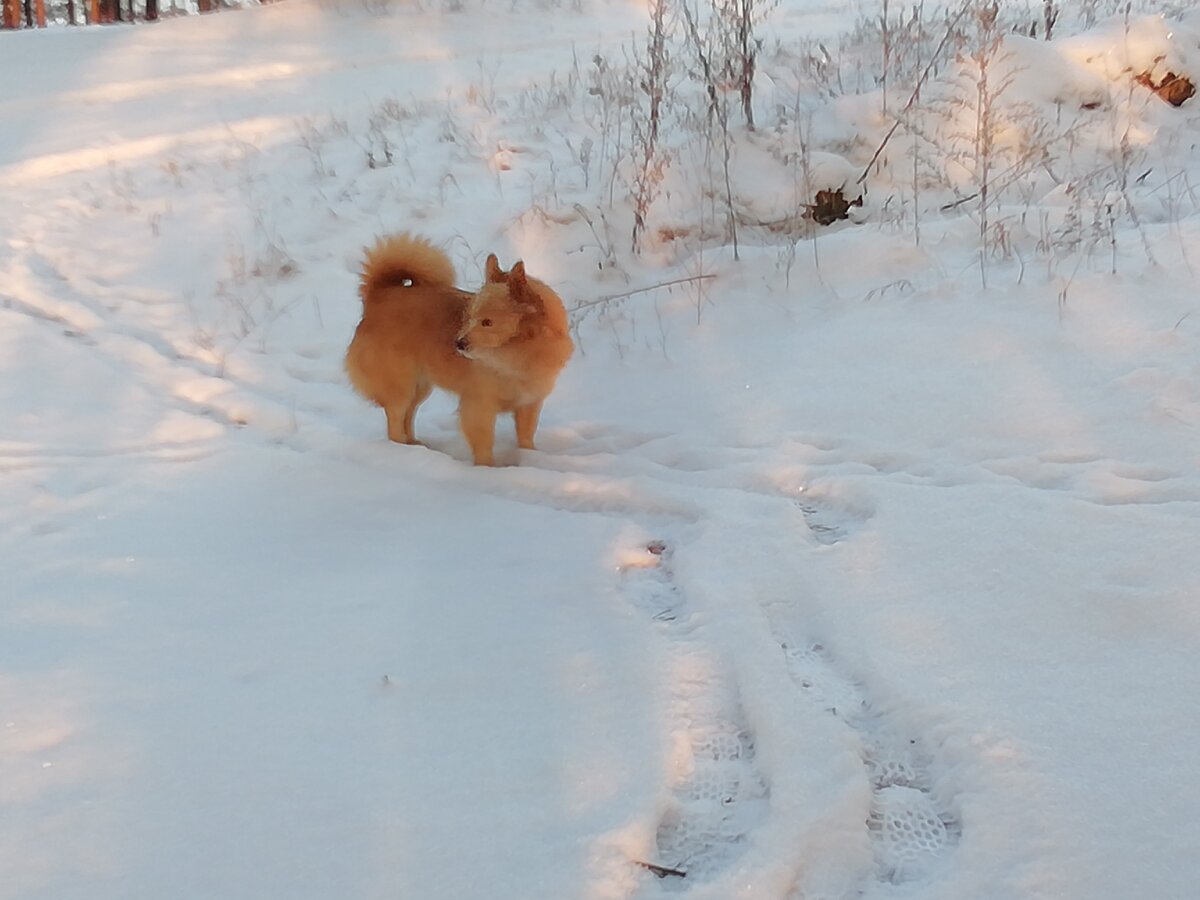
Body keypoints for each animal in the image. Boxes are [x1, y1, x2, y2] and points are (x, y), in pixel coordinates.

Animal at [345, 234, 573, 465]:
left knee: (408, 416)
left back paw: (414, 444)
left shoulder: (529, 405)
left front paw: (530, 456)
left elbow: (526, 437)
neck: (517, 354)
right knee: (395, 418)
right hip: (401, 386)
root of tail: (379, 294)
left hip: (420, 386)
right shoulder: (480, 407)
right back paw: (401, 450)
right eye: (469, 317)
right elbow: (484, 442)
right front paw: (486, 467)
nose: (458, 343)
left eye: (487, 322)